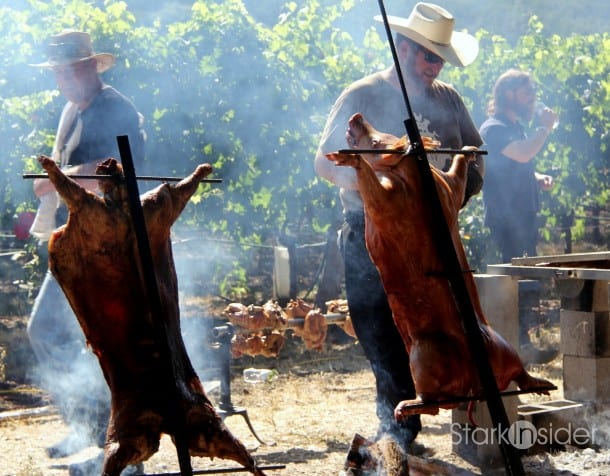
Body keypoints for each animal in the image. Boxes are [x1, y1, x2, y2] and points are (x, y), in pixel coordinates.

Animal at [36, 156, 264, 476]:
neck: (123, 207)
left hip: (127, 434)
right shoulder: (156, 207)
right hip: (203, 424)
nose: (108, 163)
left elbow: (71, 191)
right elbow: (177, 192)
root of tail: (169, 411)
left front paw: (48, 166)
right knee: (236, 449)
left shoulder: (94, 210)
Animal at [326, 112, 552, 420]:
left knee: (433, 402)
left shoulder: (390, 196)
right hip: (503, 346)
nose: (356, 116)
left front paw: (345, 159)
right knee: (520, 373)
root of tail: (475, 379)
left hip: (423, 355)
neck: (410, 168)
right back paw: (544, 386)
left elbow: (373, 187)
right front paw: (469, 151)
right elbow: (457, 177)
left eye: (375, 141)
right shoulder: (448, 187)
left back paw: (403, 407)